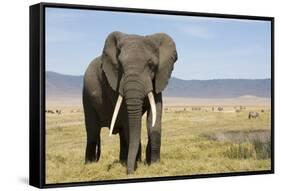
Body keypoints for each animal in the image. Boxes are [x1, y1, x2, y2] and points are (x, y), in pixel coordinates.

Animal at [82, 31, 176, 173]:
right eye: (120, 65)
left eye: (151, 65)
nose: (130, 171)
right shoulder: (114, 83)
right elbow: (126, 118)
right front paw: (135, 164)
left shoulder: (158, 79)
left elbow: (154, 116)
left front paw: (154, 164)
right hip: (86, 97)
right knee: (93, 131)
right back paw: (89, 164)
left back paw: (123, 161)